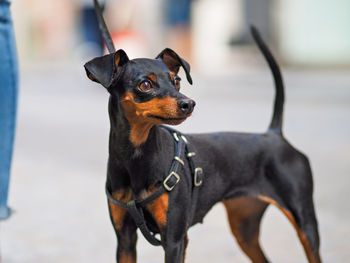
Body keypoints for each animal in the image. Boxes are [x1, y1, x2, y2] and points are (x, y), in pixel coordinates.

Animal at [83, 1, 322, 262]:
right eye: (145, 84)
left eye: (177, 80)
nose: (188, 103)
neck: (136, 155)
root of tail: (274, 133)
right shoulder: (125, 239)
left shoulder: (175, 239)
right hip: (244, 227)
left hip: (305, 224)